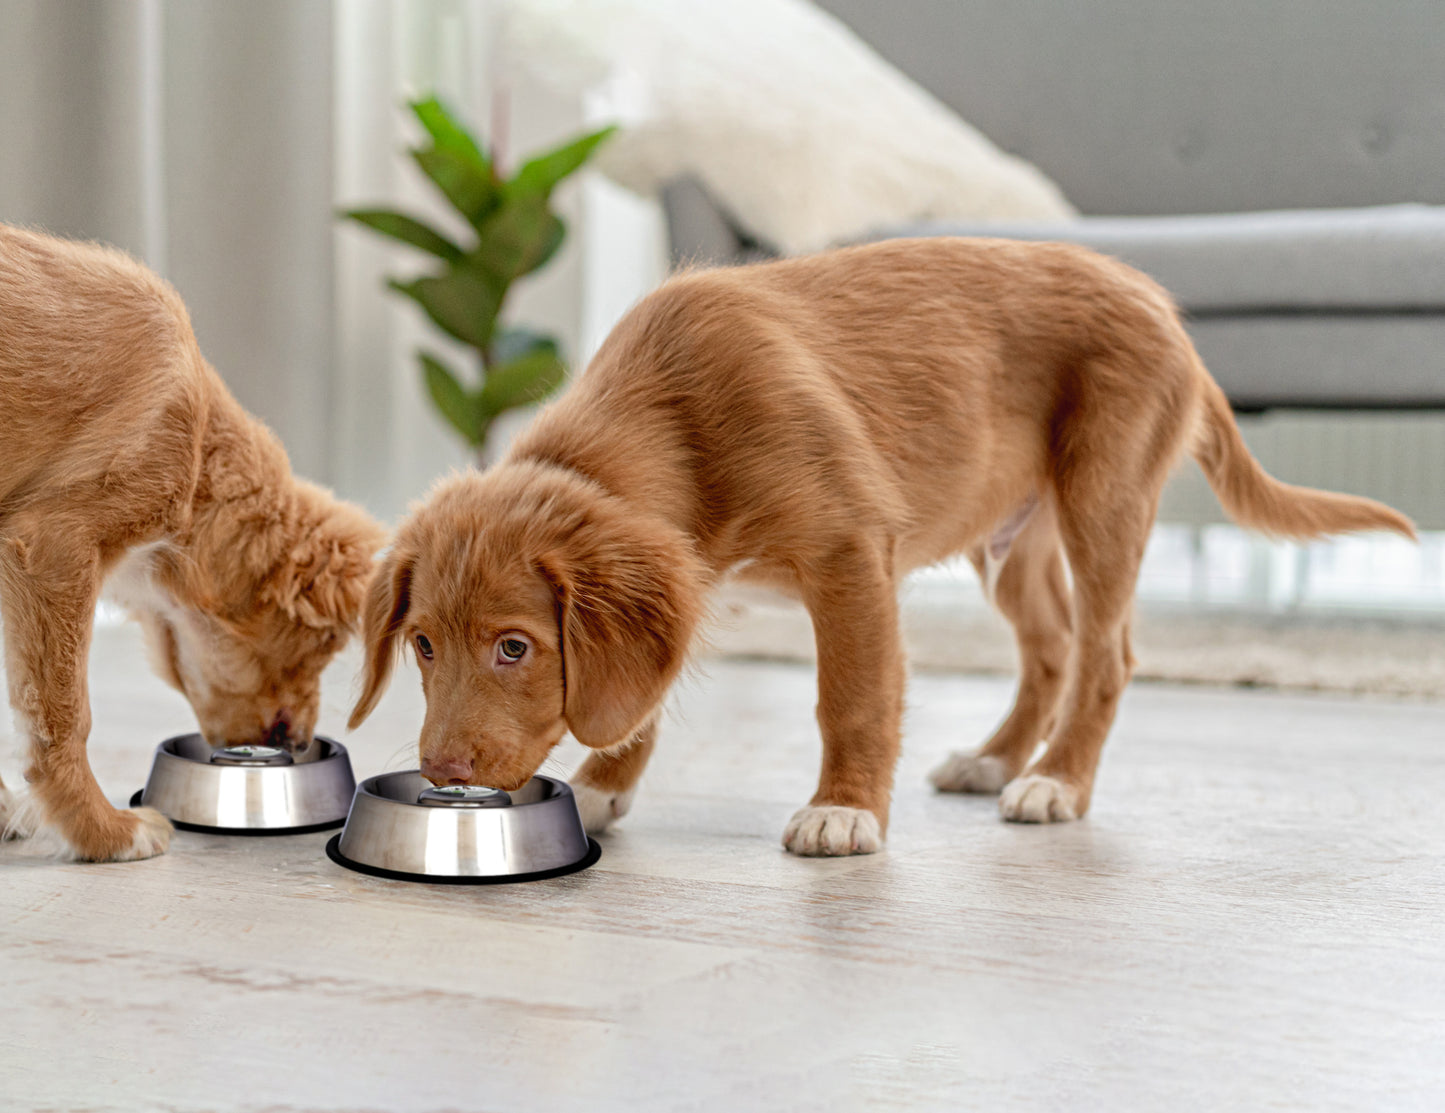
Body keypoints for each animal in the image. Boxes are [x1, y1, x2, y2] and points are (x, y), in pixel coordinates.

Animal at [0, 222, 384, 855]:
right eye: (326, 645)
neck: (202, 440)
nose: (302, 744)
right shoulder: (55, 545)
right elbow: (66, 715)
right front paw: (105, 832)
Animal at [349, 238, 1410, 855]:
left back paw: (1054, 781)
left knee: (1104, 655)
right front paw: (606, 789)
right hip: (1008, 541)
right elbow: (638, 697)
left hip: (1104, 498)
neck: (671, 416)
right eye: (423, 645)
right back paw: (993, 759)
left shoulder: (847, 553)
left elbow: (851, 696)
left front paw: (844, 808)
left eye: (514, 646)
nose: (440, 768)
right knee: (1051, 647)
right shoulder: (692, 583)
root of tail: (1161, 303)